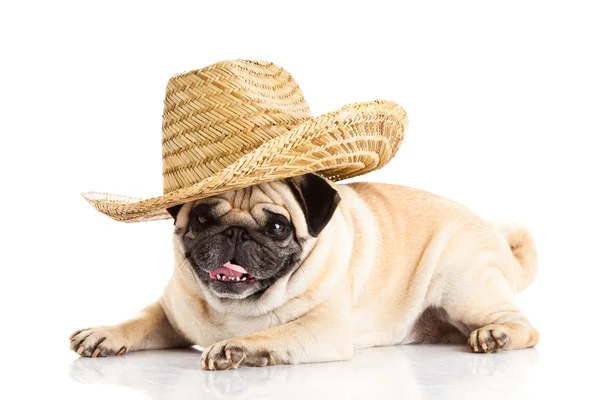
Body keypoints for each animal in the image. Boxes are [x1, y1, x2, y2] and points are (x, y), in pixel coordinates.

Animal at [70, 173, 540, 370]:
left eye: (278, 228)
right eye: (202, 219)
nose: (235, 233)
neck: (234, 309)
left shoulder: (323, 329)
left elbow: (274, 333)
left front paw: (238, 348)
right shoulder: (170, 314)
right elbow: (138, 319)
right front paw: (105, 333)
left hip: (464, 286)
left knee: (524, 326)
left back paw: (495, 336)